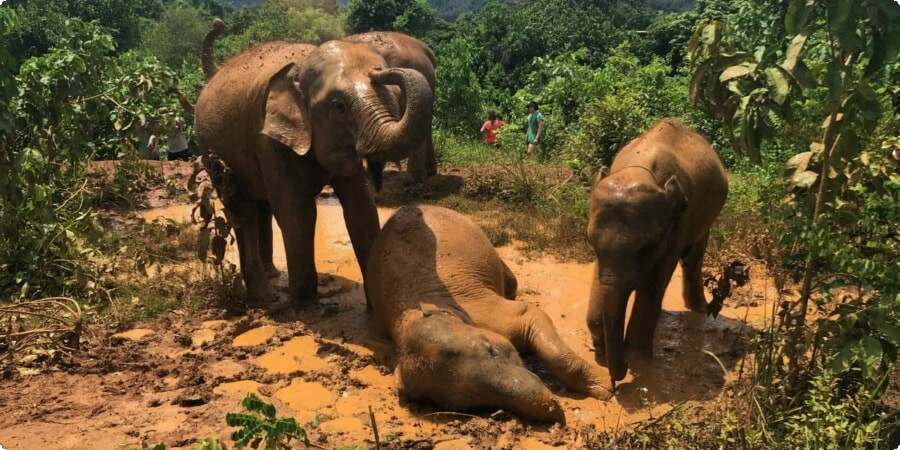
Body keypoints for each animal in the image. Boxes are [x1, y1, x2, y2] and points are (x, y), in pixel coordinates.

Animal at [195, 20, 434, 306]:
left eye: (395, 98)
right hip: (215, 156)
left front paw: (376, 306)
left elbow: (361, 208)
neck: (302, 66)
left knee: (257, 207)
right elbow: (297, 210)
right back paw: (266, 297)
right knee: (242, 211)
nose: (381, 72)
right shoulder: (269, 139)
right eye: (338, 105)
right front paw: (305, 306)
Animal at [366, 206, 612, 424]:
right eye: (471, 402)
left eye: (491, 350)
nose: (557, 414)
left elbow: (530, 313)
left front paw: (605, 389)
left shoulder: (481, 309)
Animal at [588, 117, 728, 384]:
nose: (616, 378)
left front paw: (637, 359)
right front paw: (601, 348)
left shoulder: (678, 222)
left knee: (694, 255)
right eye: (590, 242)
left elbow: (653, 282)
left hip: (707, 217)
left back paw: (700, 310)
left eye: (648, 247)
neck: (640, 170)